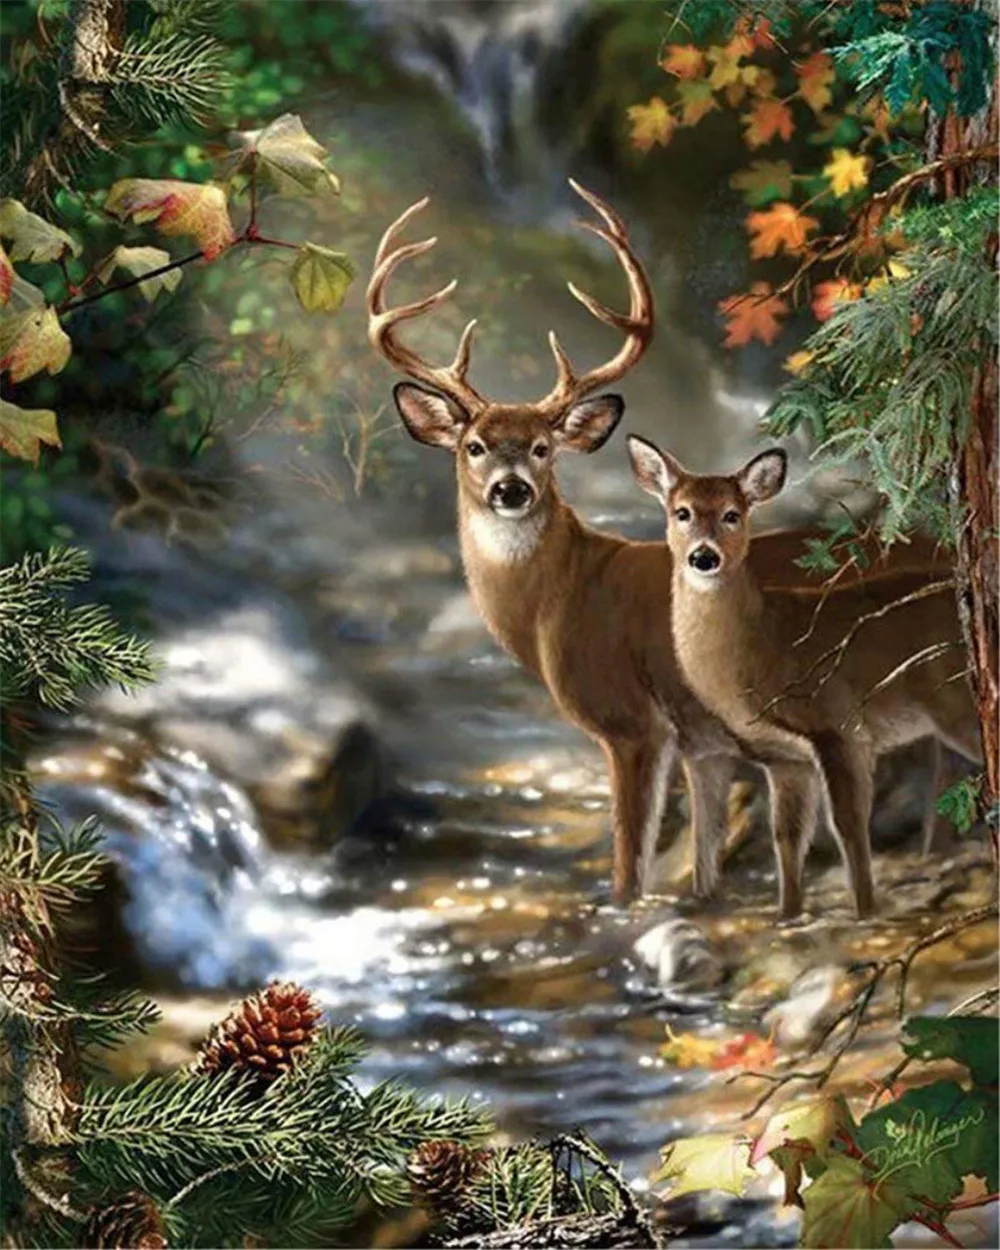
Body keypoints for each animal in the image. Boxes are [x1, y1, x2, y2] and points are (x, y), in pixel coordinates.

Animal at [367, 179, 951, 906]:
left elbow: (630, 862)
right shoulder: (704, 741)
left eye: (541, 447)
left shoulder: (631, 723)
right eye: (473, 445)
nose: (510, 489)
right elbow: (702, 858)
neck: (556, 601)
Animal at [627, 435, 981, 919]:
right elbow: (789, 837)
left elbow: (848, 825)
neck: (765, 646)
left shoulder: (840, 724)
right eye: (681, 512)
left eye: (732, 514)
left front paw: (865, 912)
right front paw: (788, 915)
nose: (703, 556)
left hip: (960, 705)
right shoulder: (785, 757)